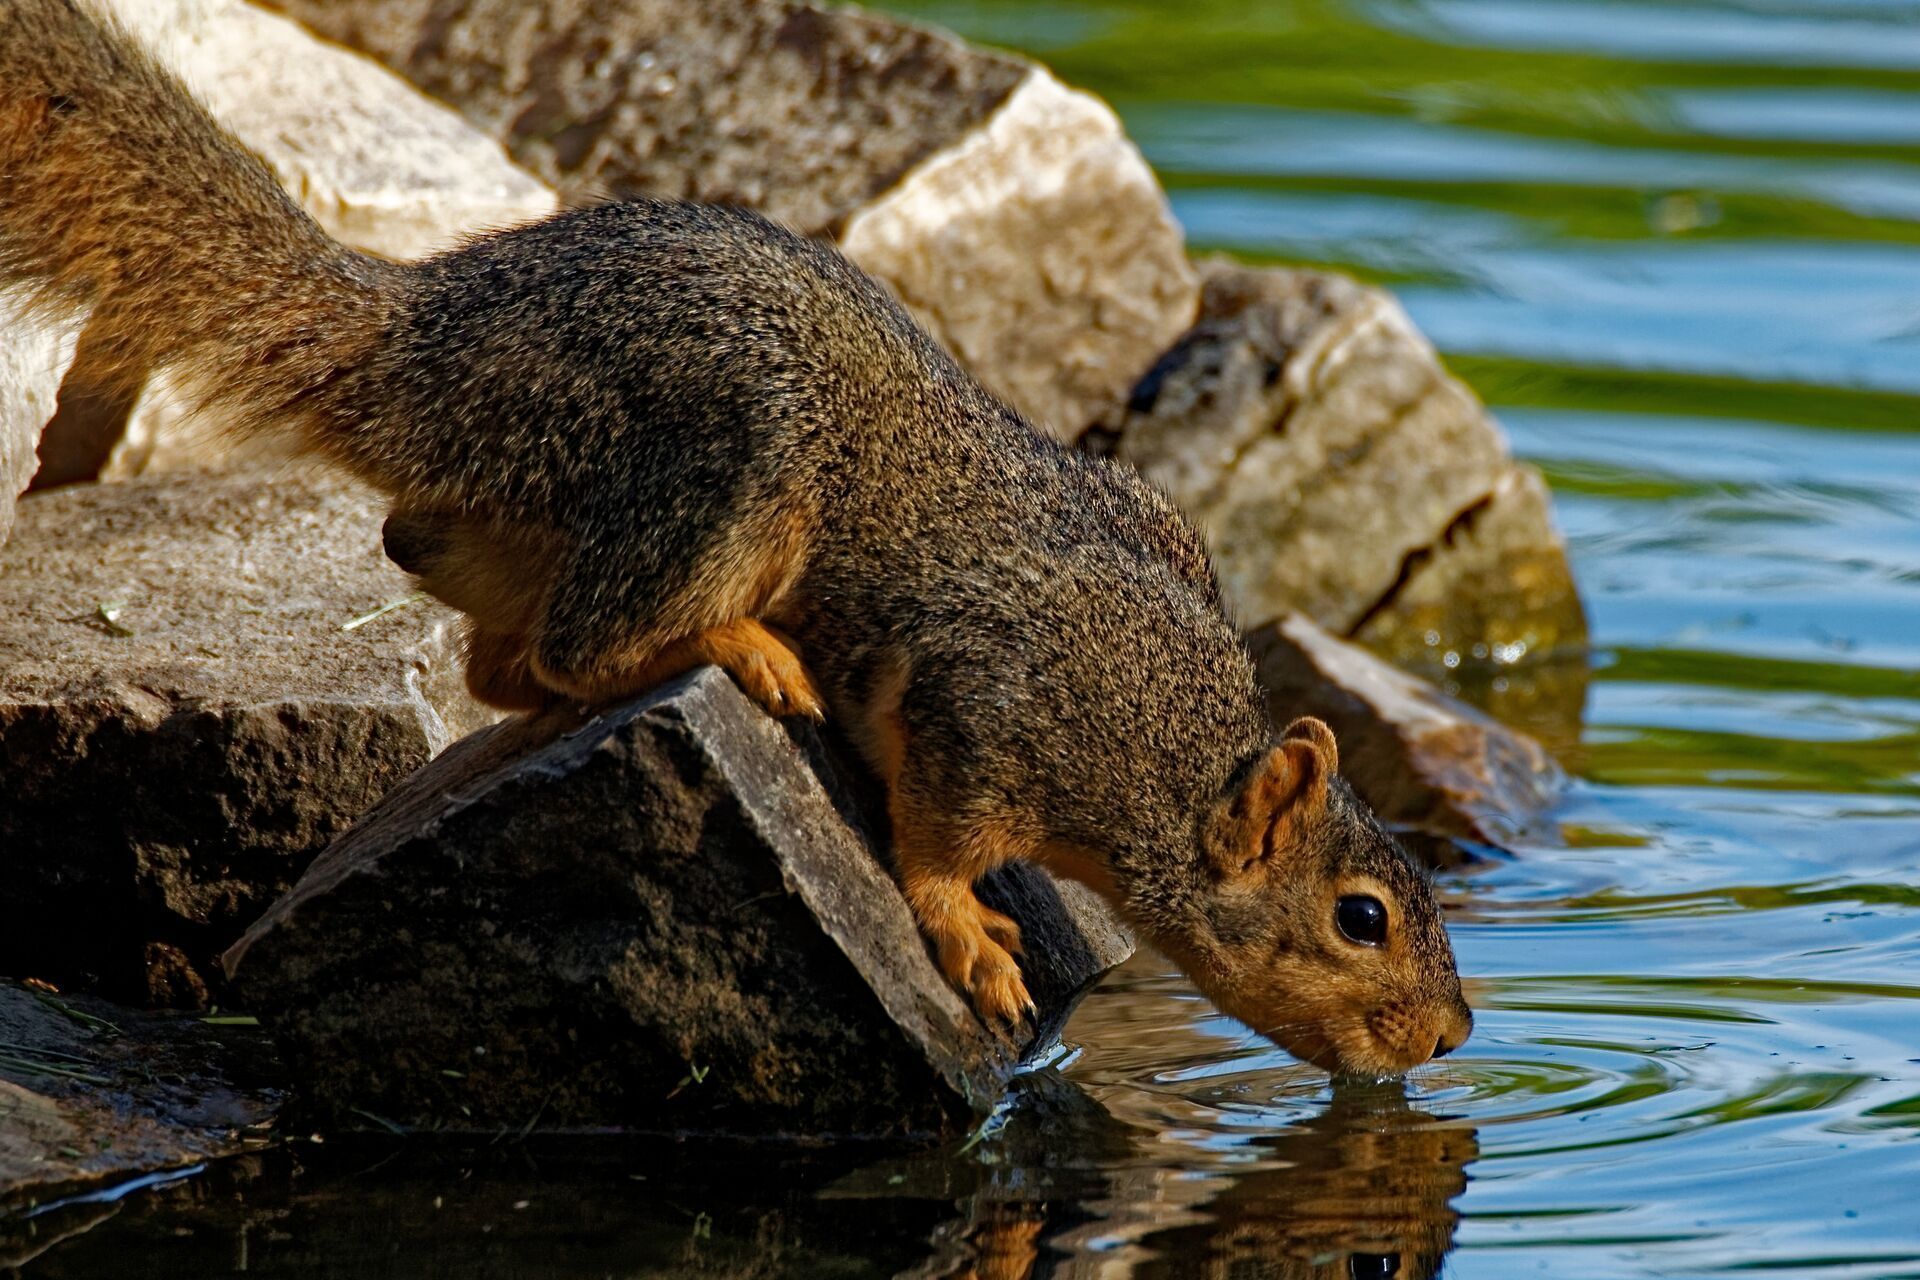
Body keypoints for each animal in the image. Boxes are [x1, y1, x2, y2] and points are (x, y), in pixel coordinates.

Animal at [0, 0, 1471, 1076]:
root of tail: (423, 350)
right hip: (737, 459)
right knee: (579, 649)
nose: (1453, 1034)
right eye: (1361, 917)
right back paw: (738, 648)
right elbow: (938, 837)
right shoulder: (990, 697)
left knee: (494, 662)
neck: (1160, 743)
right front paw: (971, 936)